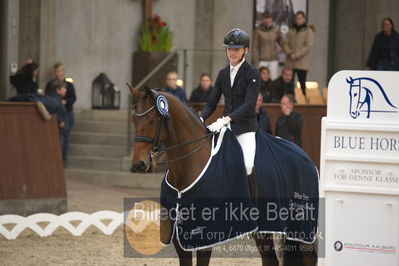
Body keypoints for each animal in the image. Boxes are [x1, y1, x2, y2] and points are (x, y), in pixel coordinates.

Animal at [130, 85, 318, 266]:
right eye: (133, 119)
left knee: (309, 258)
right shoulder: (178, 237)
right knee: (269, 260)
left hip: (302, 230)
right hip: (265, 231)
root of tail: (306, 156)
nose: (138, 164)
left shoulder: (204, 236)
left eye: (152, 120)